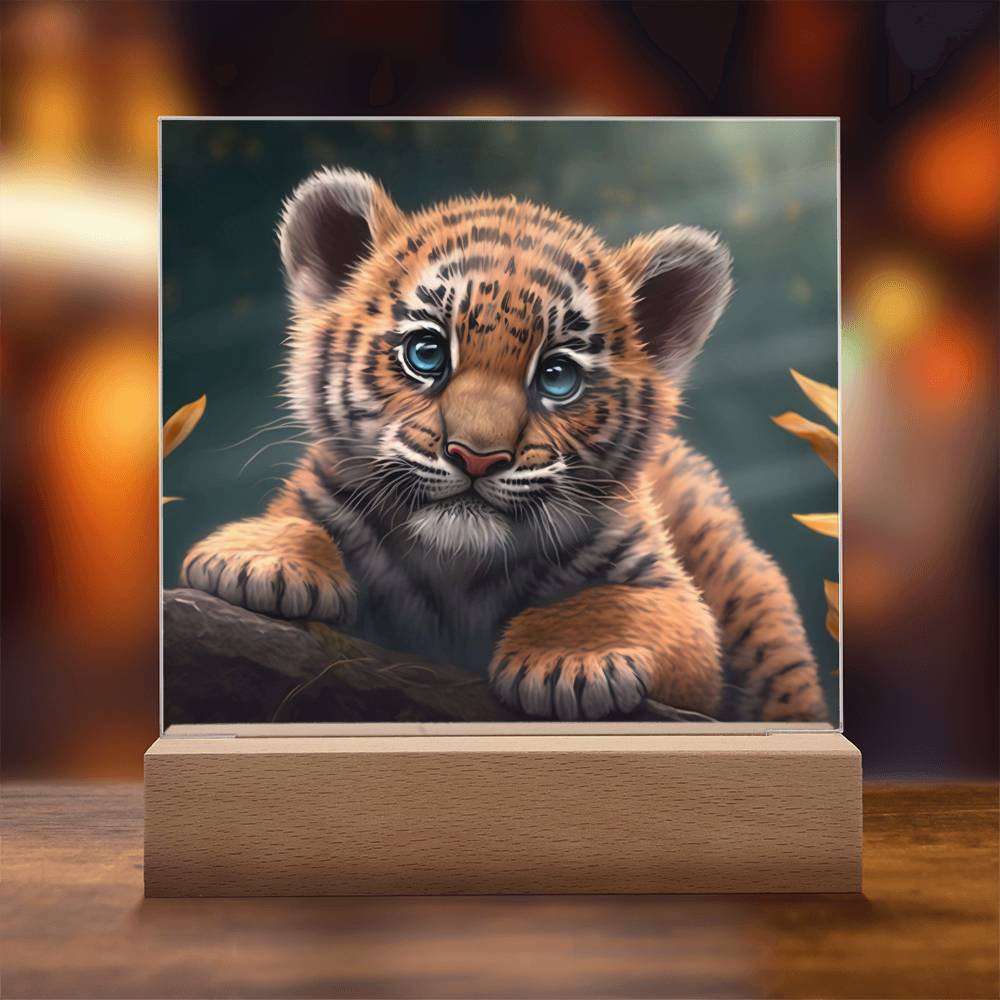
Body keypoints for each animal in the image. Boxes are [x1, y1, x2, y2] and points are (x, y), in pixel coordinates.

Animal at [179, 166, 829, 723]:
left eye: (557, 376)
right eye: (426, 353)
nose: (477, 456)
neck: (456, 570)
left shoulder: (673, 599)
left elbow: (624, 604)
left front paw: (570, 660)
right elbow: (300, 520)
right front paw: (261, 558)